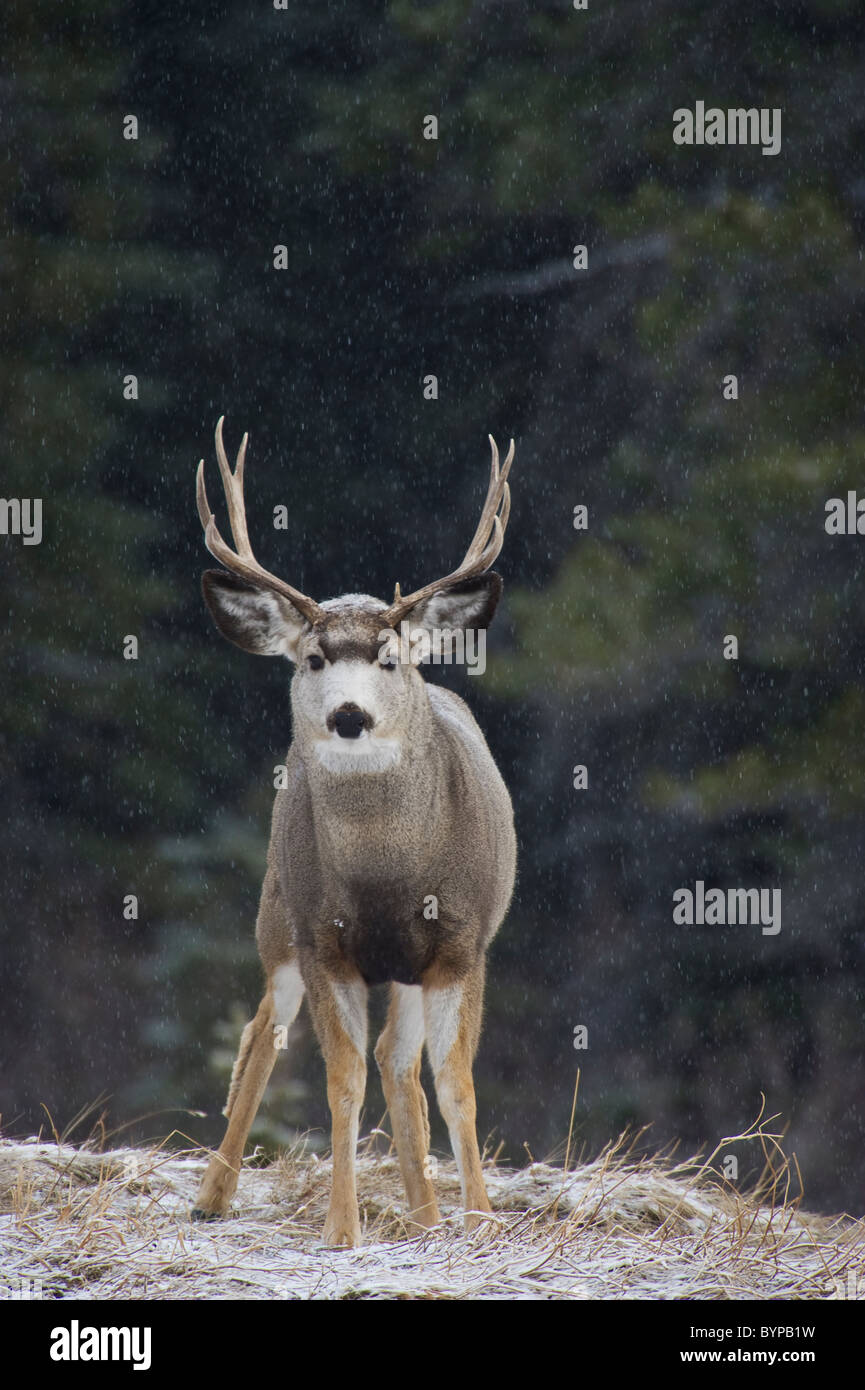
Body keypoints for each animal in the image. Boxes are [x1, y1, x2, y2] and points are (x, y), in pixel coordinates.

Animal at [190, 417, 517, 1247]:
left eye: (389, 658)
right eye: (311, 657)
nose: (347, 715)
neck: (387, 876)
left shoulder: (462, 942)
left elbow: (454, 1083)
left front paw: (478, 1218)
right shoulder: (323, 941)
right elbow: (341, 1082)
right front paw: (342, 1229)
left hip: (404, 964)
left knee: (398, 1061)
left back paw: (427, 1213)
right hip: (277, 910)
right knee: (263, 1031)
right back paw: (211, 1196)